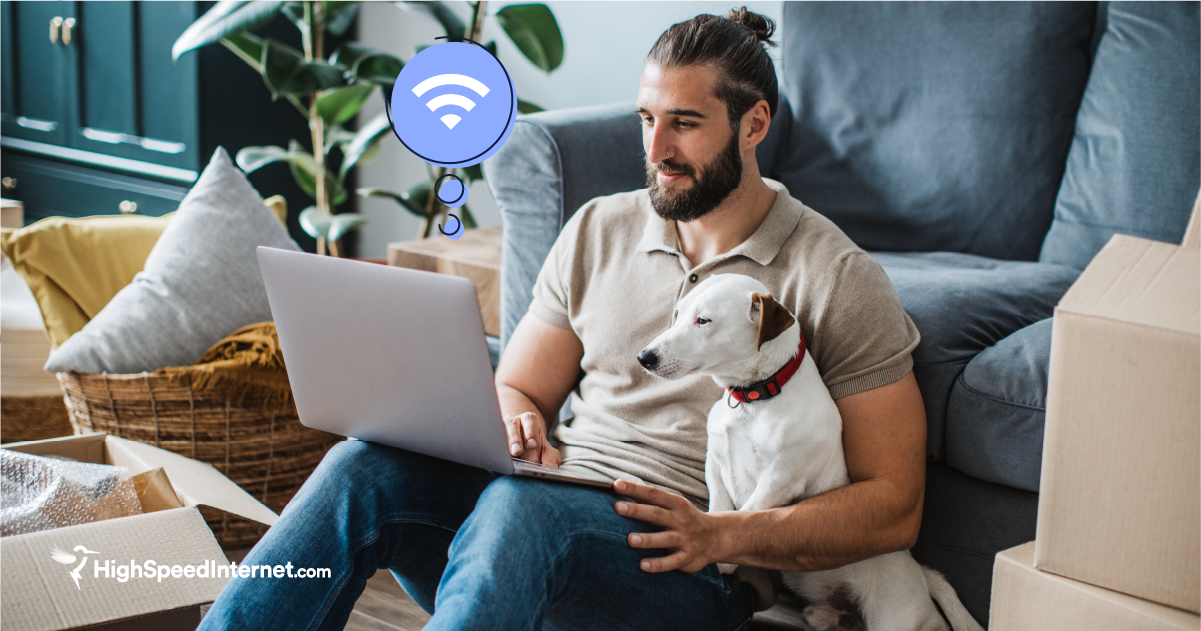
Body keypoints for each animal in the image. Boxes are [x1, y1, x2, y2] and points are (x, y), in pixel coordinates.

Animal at [643, 274, 980, 629]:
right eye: (678, 313)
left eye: (703, 320)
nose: (644, 357)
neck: (756, 397)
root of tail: (921, 575)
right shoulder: (716, 466)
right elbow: (722, 510)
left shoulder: (780, 480)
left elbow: (742, 514)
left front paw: (718, 558)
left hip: (894, 618)